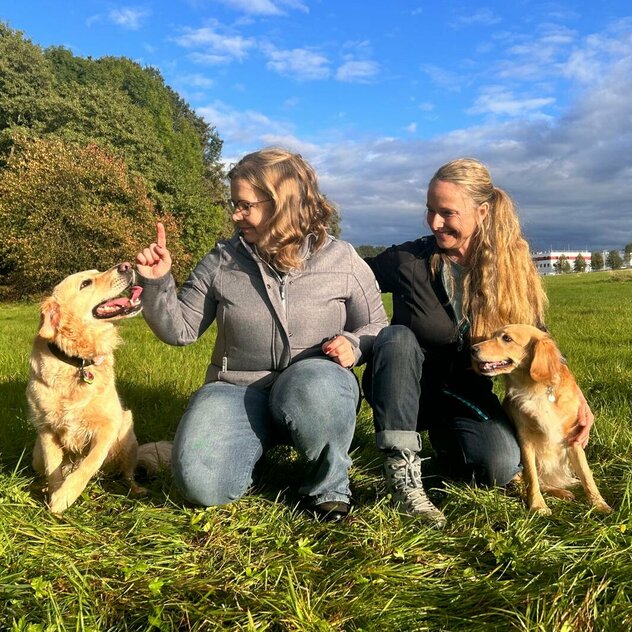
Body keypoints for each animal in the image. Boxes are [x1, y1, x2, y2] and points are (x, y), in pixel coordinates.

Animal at [26, 262, 145, 512]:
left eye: (98, 272)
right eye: (86, 283)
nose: (127, 265)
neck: (78, 362)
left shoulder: (109, 425)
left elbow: (90, 462)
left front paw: (66, 495)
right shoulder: (46, 429)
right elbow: (54, 470)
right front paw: (56, 496)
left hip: (129, 433)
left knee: (128, 473)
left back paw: (137, 489)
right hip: (36, 453)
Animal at [470, 326, 612, 512]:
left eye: (507, 338)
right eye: (492, 336)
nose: (472, 349)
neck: (535, 389)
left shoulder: (573, 439)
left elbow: (587, 475)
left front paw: (599, 504)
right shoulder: (525, 440)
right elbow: (531, 478)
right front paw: (537, 505)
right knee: (531, 481)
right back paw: (561, 492)